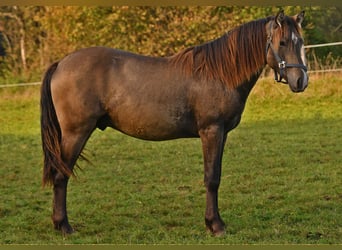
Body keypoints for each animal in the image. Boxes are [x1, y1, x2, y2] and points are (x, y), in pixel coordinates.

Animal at [40, 10, 310, 236]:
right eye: (282, 43)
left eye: (300, 42)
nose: (300, 81)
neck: (219, 74)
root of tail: (61, 64)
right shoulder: (211, 130)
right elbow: (212, 178)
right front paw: (215, 225)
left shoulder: (222, 134)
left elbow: (217, 175)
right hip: (76, 133)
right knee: (61, 176)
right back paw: (64, 226)